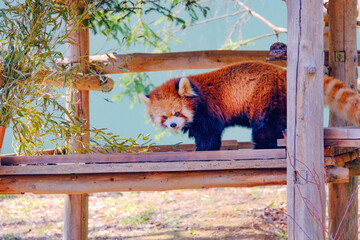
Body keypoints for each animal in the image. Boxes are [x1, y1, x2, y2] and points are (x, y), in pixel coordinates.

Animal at [139, 61, 360, 150]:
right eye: (164, 117)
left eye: (177, 112)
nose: (173, 125)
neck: (197, 91)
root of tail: (282, 72)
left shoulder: (209, 110)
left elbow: (209, 132)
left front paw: (204, 148)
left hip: (265, 97)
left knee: (266, 125)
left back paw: (264, 145)